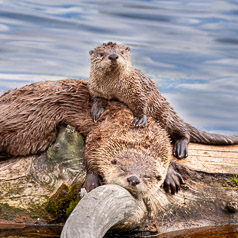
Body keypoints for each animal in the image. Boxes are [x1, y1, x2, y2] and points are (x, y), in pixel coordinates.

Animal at [88, 42, 238, 160]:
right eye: (101, 53)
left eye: (122, 51)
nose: (113, 56)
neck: (114, 87)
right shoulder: (95, 87)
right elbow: (96, 97)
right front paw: (97, 110)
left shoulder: (136, 88)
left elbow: (141, 102)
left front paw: (139, 119)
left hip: (166, 113)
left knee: (184, 131)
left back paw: (180, 147)